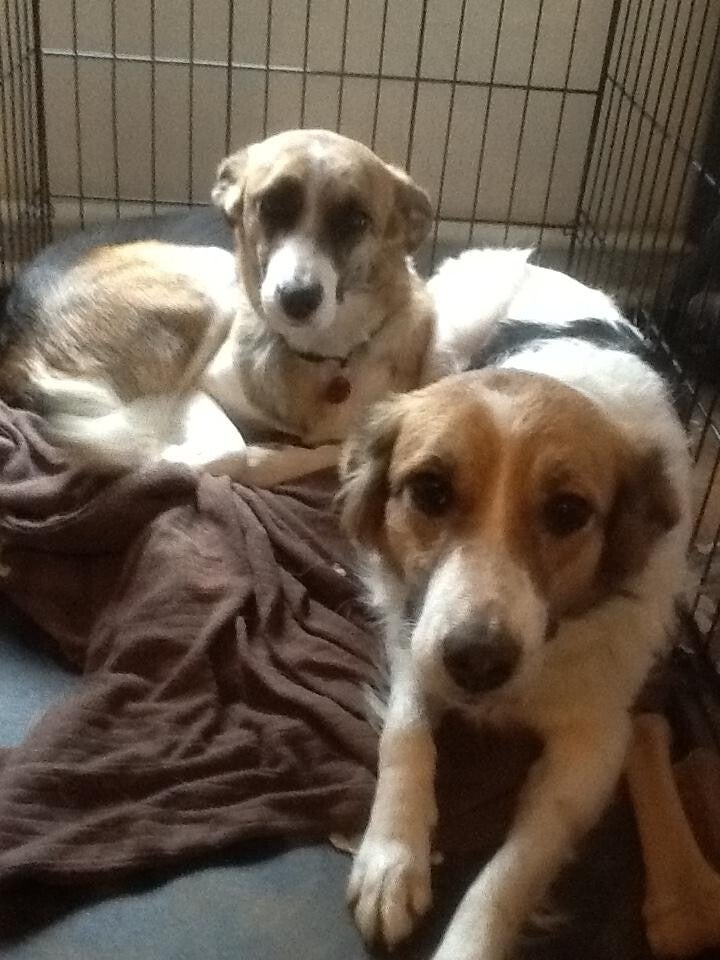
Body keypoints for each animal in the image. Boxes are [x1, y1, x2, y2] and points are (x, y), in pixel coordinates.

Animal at [0, 130, 434, 487]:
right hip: (208, 288)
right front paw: (246, 456)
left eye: (356, 220)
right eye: (270, 205)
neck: (316, 354)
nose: (296, 298)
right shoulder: (194, 389)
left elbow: (341, 450)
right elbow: (229, 450)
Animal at [339, 249, 691, 960]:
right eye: (430, 490)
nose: (476, 662)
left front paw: (468, 940)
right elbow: (406, 735)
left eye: (568, 512)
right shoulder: (416, 637)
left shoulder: (597, 737)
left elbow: (517, 866)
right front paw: (391, 860)